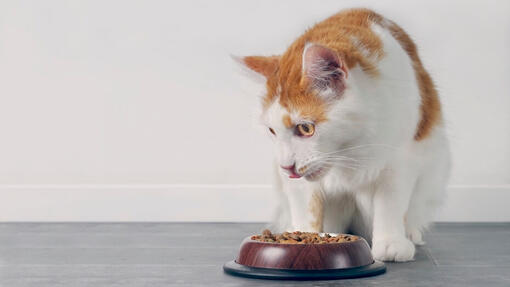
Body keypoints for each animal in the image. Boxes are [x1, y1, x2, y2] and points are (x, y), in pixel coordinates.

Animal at [239, 7, 450, 262]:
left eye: (305, 128)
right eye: (272, 131)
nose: (286, 167)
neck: (349, 150)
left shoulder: (401, 158)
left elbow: (390, 203)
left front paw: (391, 243)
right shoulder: (297, 183)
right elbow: (306, 208)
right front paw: (303, 238)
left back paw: (411, 234)